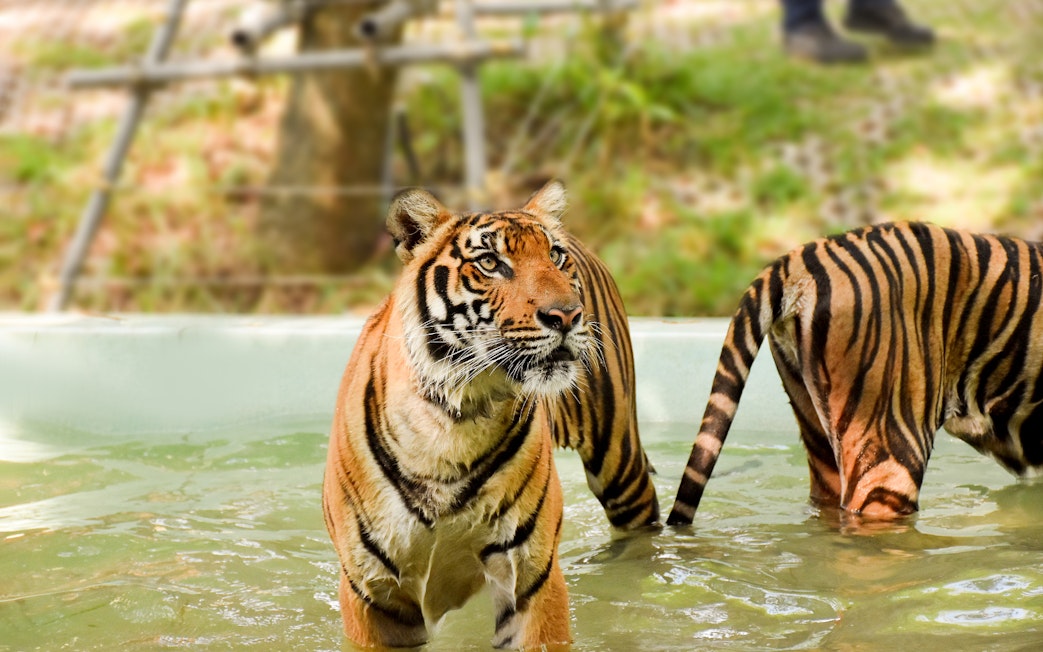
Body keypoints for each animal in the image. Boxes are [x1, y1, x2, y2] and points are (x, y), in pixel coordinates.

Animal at [322, 180, 659, 649]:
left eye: (555, 256)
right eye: (489, 263)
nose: (567, 315)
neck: (451, 422)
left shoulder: (530, 576)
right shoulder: (372, 592)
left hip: (619, 459)